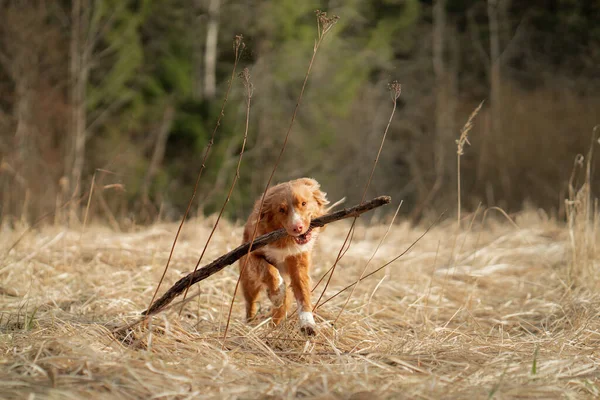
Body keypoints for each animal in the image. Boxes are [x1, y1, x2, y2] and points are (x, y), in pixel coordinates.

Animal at [238, 177, 330, 334]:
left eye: (304, 203)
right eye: (281, 210)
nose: (297, 227)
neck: (285, 241)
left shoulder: (299, 262)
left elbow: (303, 294)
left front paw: (308, 323)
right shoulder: (251, 256)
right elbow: (269, 270)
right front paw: (276, 294)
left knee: (280, 310)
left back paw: (273, 328)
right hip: (248, 281)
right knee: (251, 303)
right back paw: (251, 323)